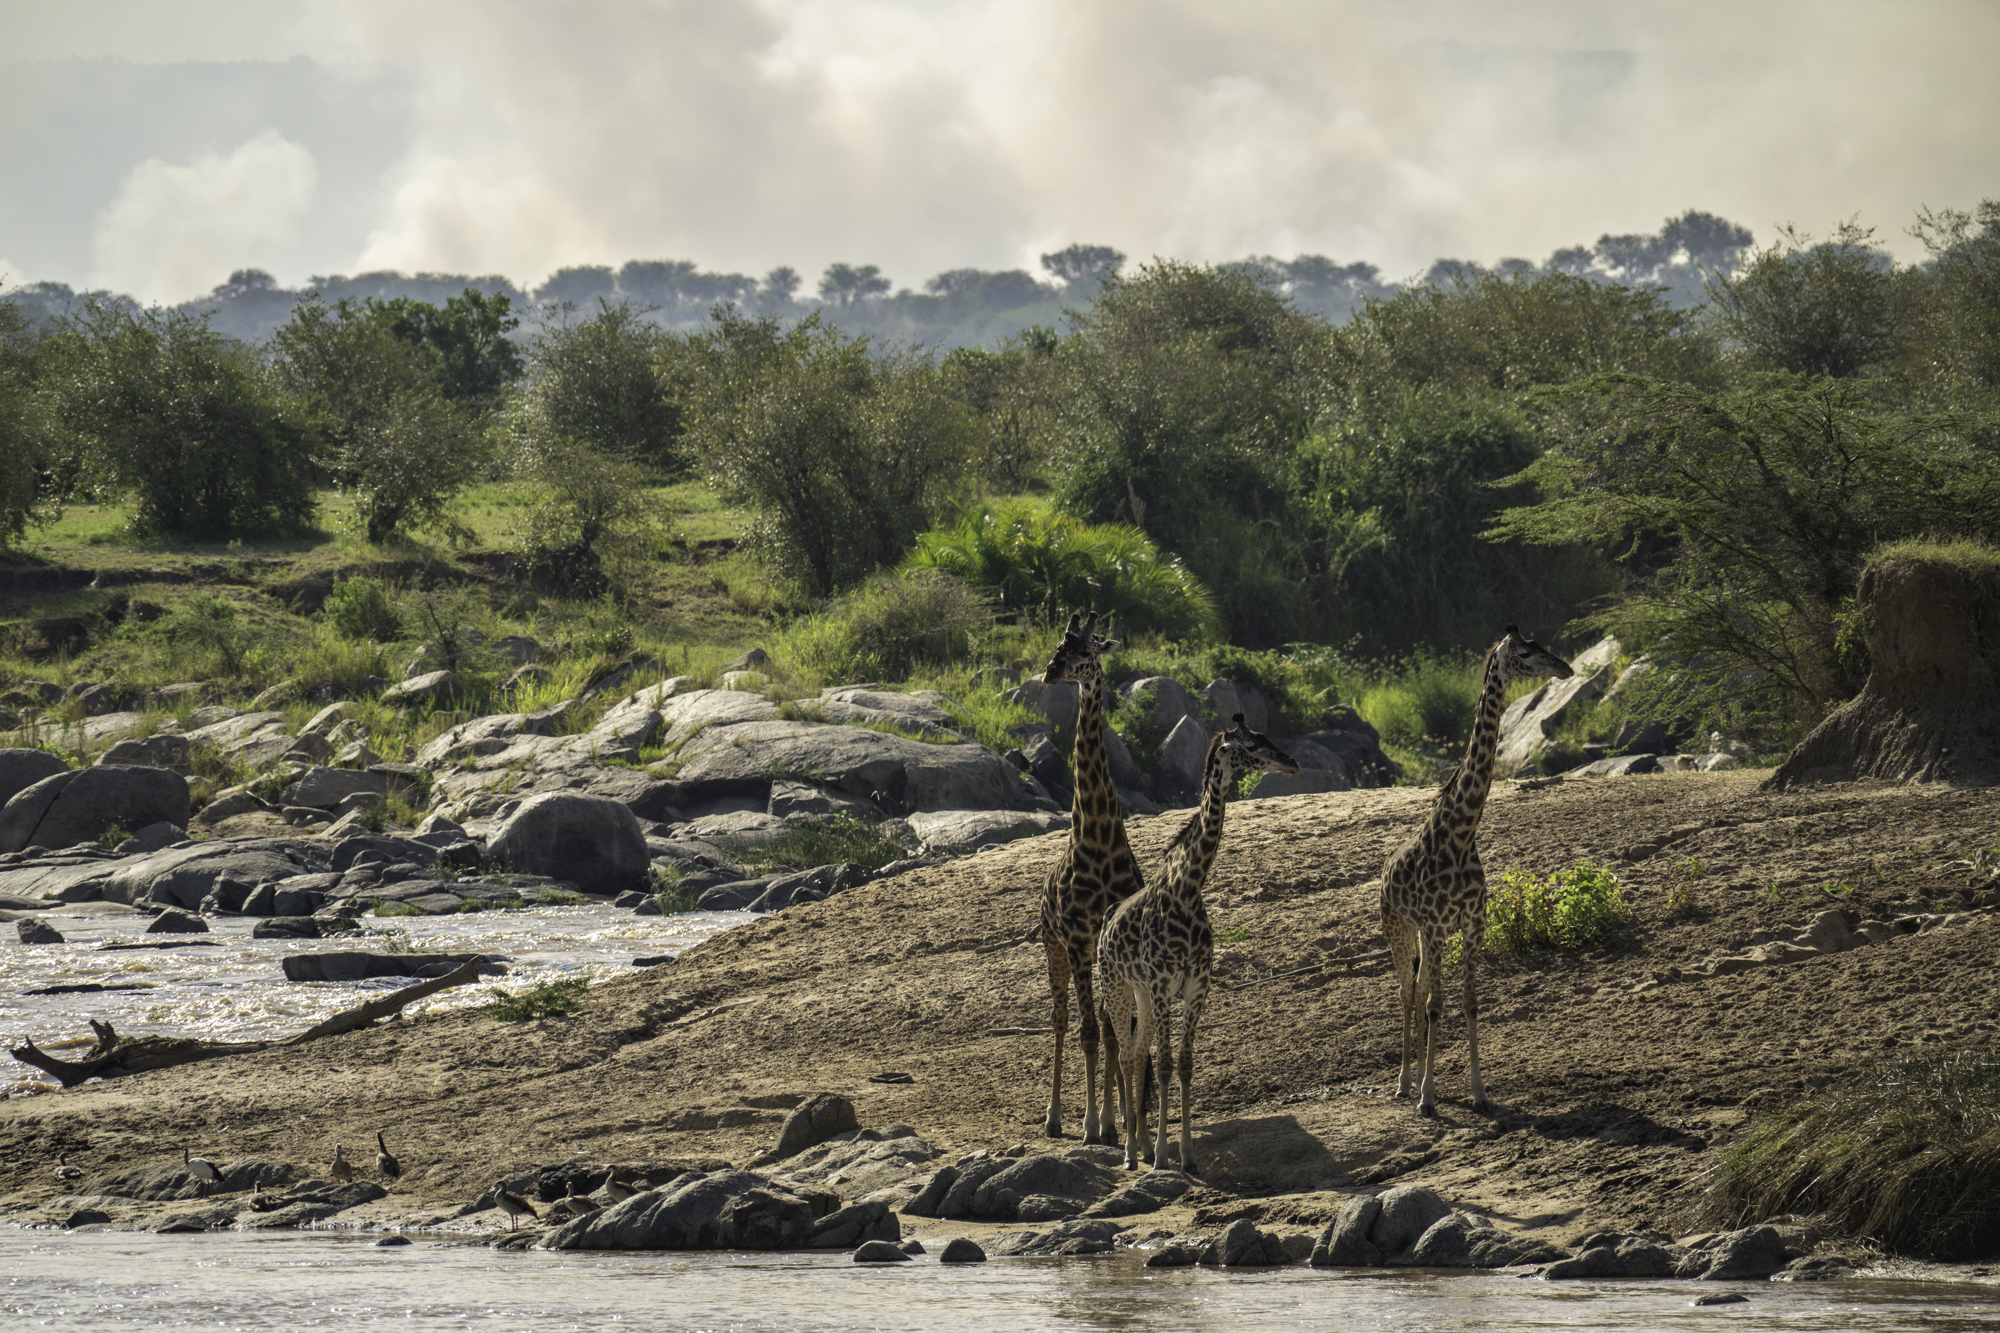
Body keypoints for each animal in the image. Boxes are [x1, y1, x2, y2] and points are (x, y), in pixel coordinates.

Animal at [1099, 715, 1299, 1172]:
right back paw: (1130, 1152)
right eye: (1252, 745)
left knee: (1137, 1052)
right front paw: (1161, 1155)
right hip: (1117, 987)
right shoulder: (1162, 985)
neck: (1188, 890)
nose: (1293, 762)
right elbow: (1165, 1065)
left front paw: (1186, 1155)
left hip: (1139, 993)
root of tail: (1105, 920)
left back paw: (1137, 1146)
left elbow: (1186, 1065)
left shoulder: (1196, 986)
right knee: (1125, 1055)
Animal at [1380, 624, 1574, 1118]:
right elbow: (1435, 1004)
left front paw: (1479, 1092)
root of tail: (1383, 873)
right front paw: (1428, 1097)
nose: (1567, 667)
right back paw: (1405, 1084)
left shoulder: (1471, 924)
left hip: (1424, 935)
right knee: (1407, 993)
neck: (1461, 834)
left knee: (1421, 990)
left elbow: (1468, 1003)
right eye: (1527, 652)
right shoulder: (1434, 925)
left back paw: (1419, 1078)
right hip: (1398, 928)